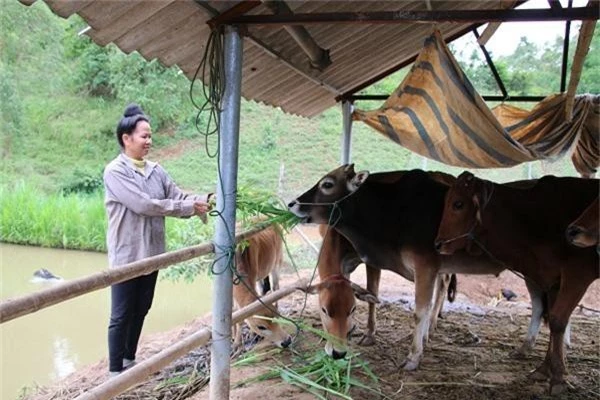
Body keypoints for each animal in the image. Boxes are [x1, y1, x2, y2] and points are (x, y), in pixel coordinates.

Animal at [434, 171, 596, 394]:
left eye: (458, 204)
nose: (438, 244)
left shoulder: (576, 275)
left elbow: (557, 320)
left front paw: (558, 377)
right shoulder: (552, 280)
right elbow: (552, 320)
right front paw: (545, 369)